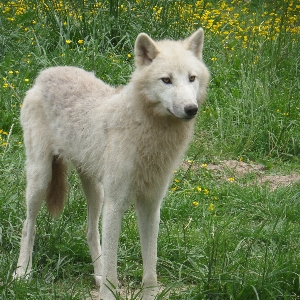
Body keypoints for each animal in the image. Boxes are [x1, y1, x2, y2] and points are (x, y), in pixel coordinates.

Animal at [14, 27, 210, 298]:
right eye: (166, 80)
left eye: (192, 78)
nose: (191, 109)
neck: (148, 134)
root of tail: (45, 73)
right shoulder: (116, 204)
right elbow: (112, 271)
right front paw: (108, 291)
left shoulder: (151, 205)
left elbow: (150, 270)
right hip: (41, 179)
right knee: (28, 225)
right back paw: (22, 273)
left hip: (95, 190)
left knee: (90, 231)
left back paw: (95, 274)